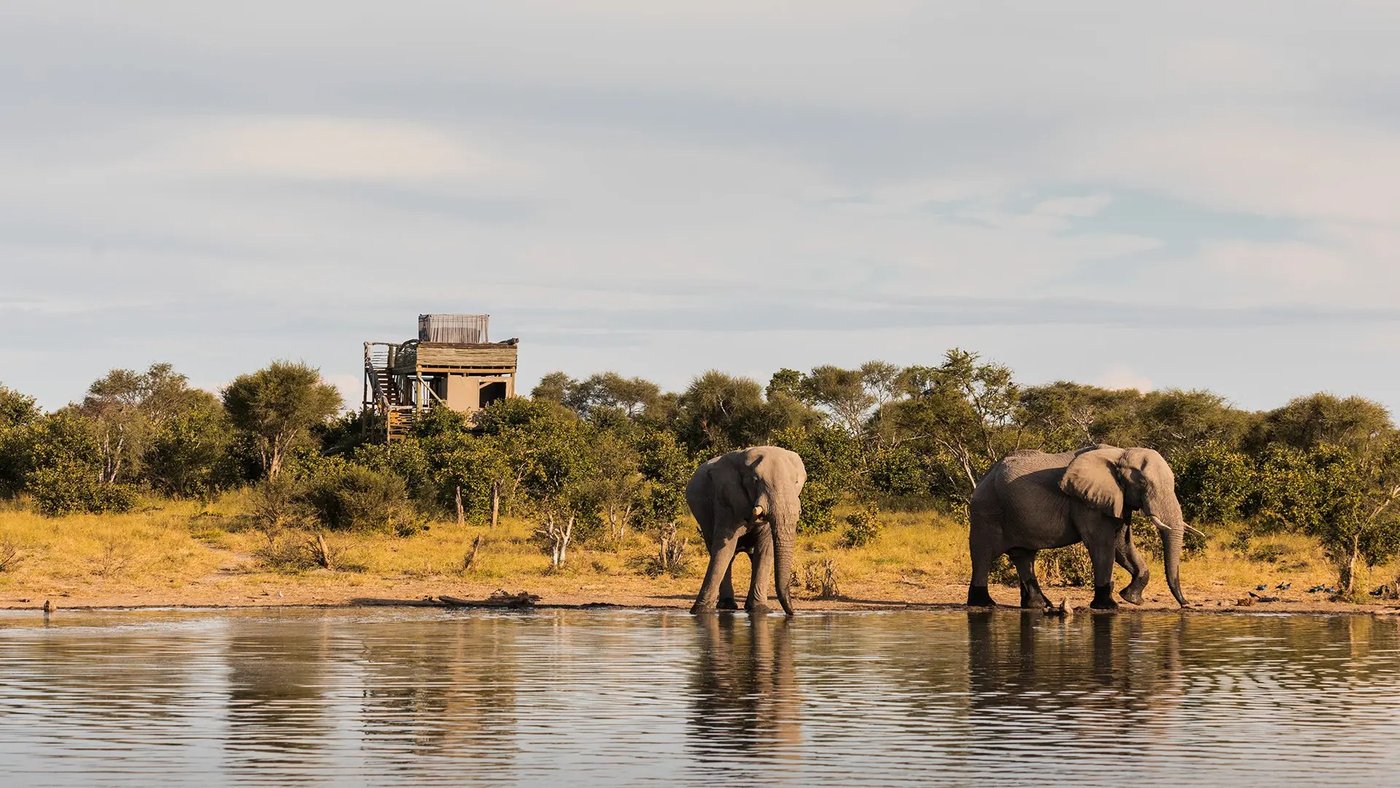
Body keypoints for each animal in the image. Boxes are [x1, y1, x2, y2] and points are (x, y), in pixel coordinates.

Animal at [686, 446, 806, 616]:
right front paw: (701, 611)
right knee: (720, 551)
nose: (793, 613)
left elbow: (765, 550)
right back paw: (727, 605)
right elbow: (725, 548)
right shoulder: (726, 499)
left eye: (796, 482)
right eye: (755, 481)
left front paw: (760, 610)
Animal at [966, 445, 1194, 610]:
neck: (1120, 453)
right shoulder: (1086, 503)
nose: (1186, 604)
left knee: (1024, 556)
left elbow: (1122, 545)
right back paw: (984, 603)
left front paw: (1131, 598)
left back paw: (1039, 605)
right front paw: (1108, 606)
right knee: (983, 554)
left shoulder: (1117, 500)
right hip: (987, 510)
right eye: (1144, 483)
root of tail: (984, 478)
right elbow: (1102, 544)